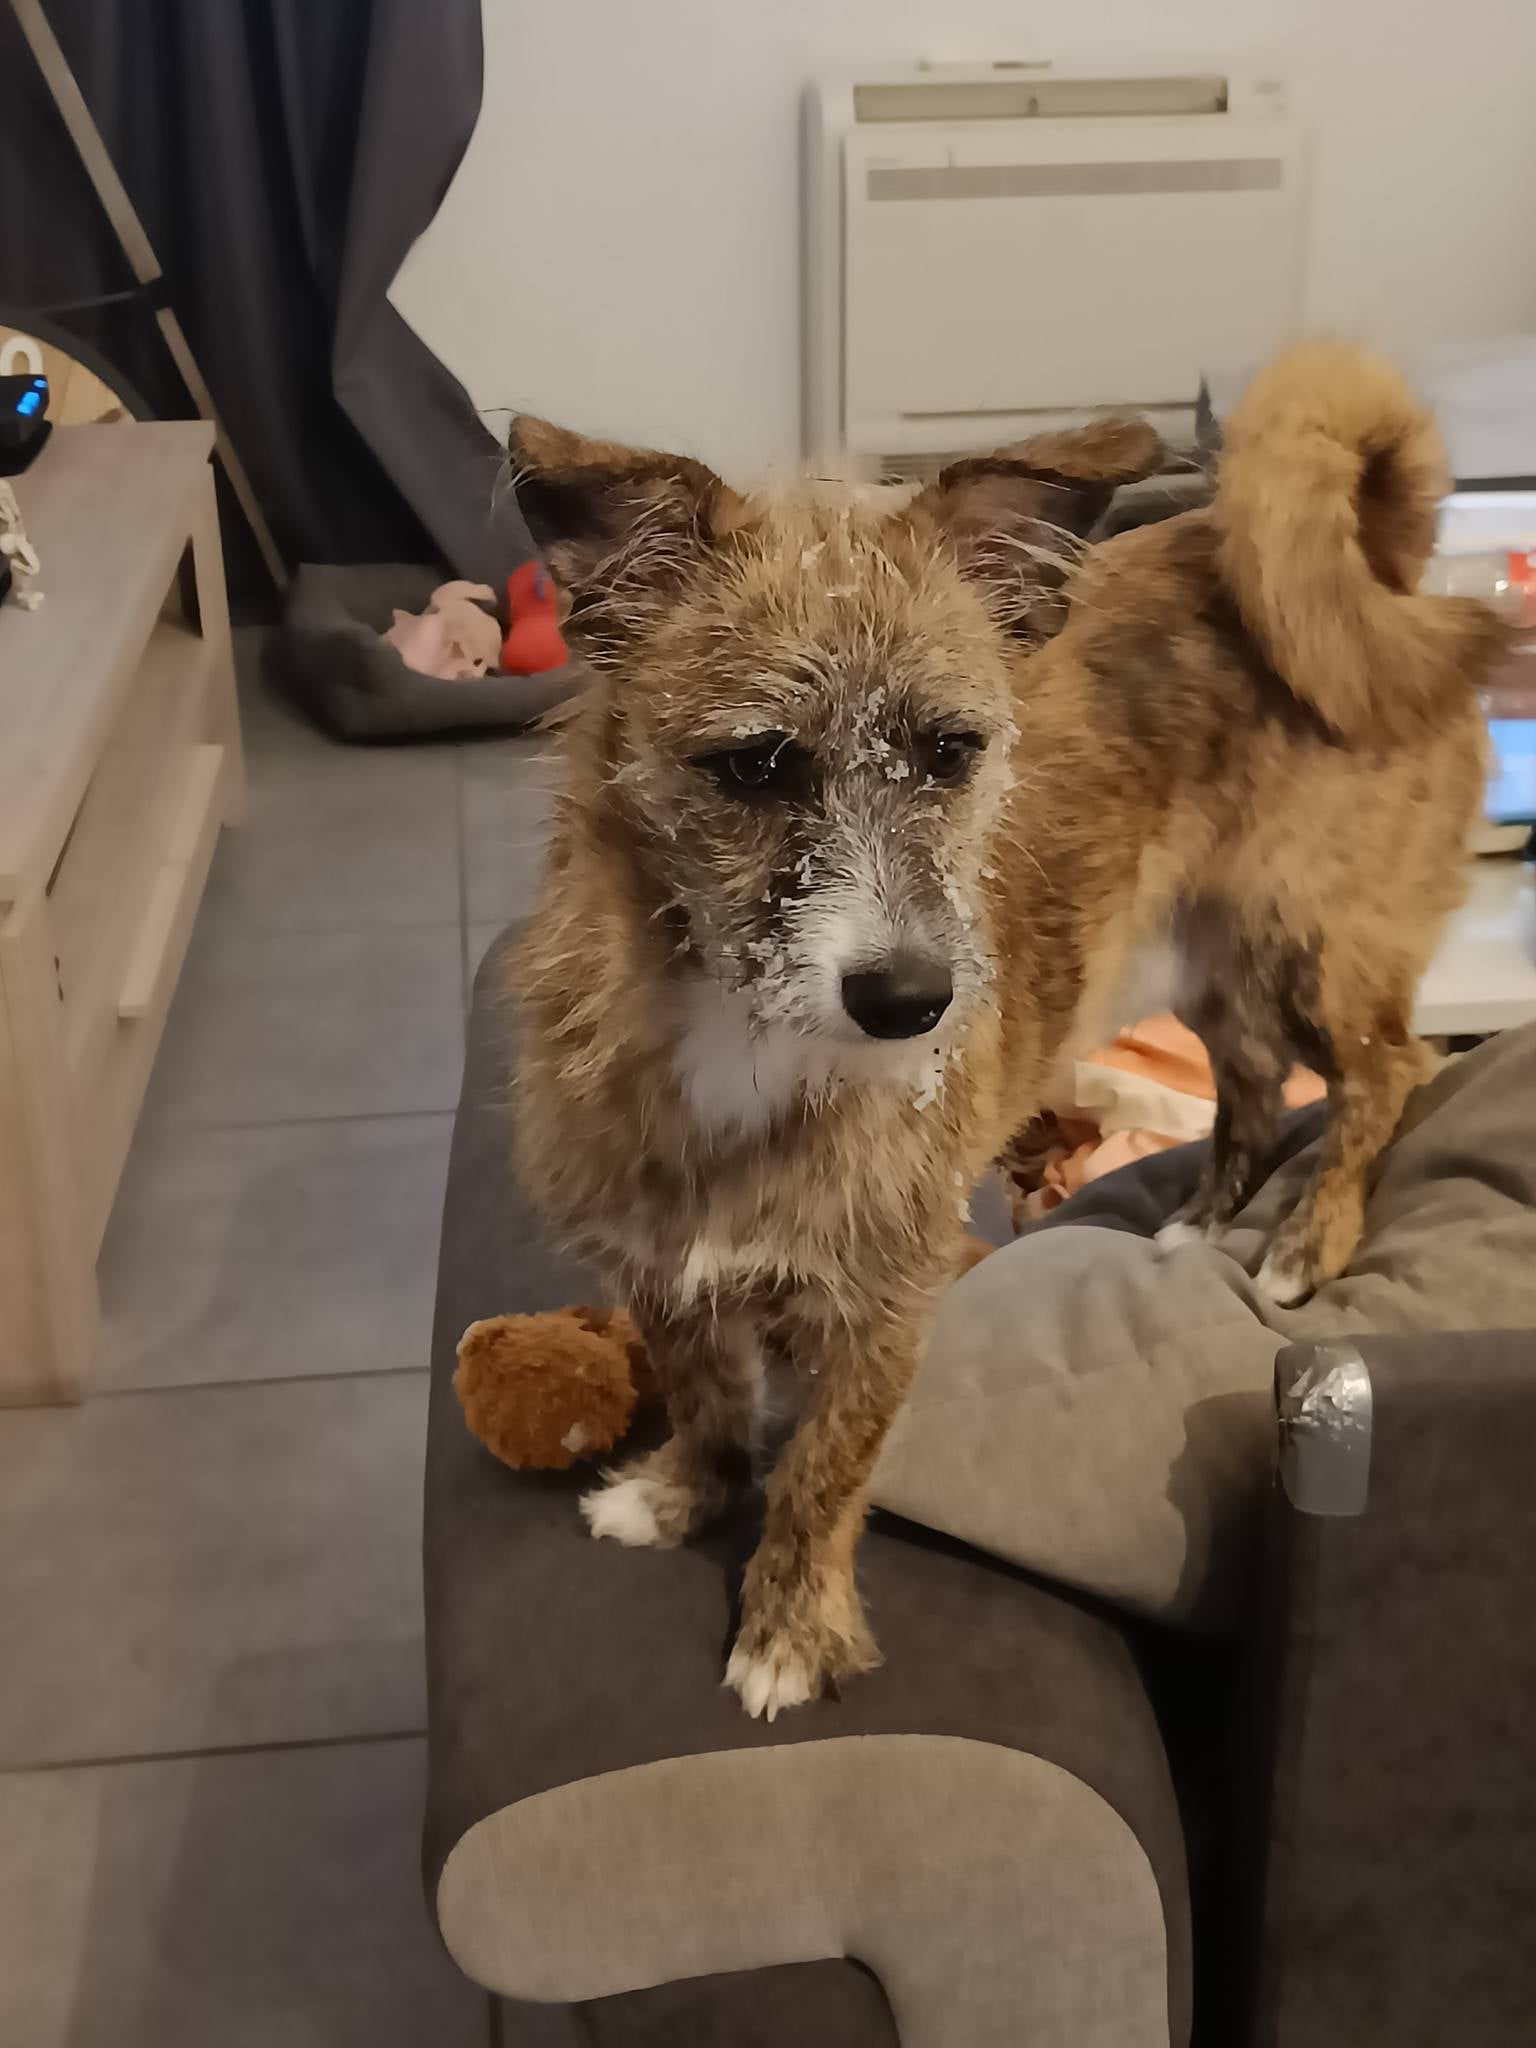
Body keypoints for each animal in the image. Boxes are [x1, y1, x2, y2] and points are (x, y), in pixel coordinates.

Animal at [508, 342, 1508, 1719]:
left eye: (951, 751)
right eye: (755, 765)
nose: (912, 1000)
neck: (739, 1035)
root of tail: (1390, 584)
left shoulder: (885, 1303)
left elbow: (822, 1465)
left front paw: (789, 1626)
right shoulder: (654, 1259)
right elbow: (708, 1393)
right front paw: (678, 1493)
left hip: (1313, 944)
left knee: (1383, 1073)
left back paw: (1309, 1241)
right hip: (1205, 965)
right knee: (1256, 1085)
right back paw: (1202, 1220)